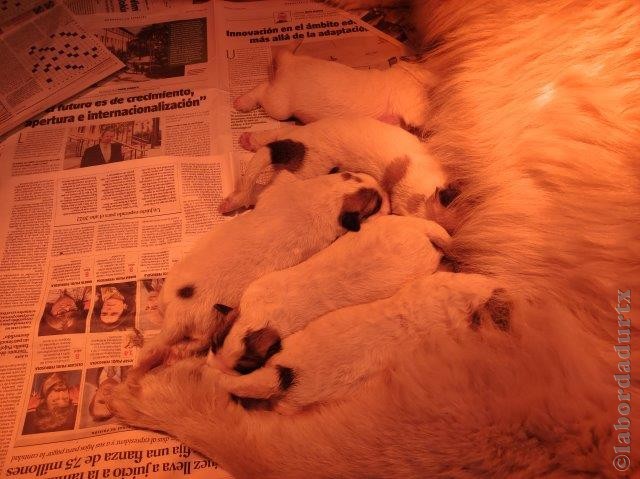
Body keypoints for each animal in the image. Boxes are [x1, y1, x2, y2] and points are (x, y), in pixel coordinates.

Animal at [218, 117, 448, 218]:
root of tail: (300, 147)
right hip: (294, 178)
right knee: (258, 192)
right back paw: (231, 203)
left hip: (292, 135)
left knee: (273, 136)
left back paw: (249, 140)